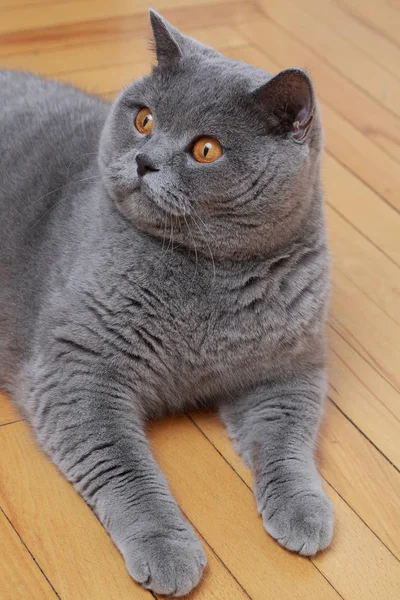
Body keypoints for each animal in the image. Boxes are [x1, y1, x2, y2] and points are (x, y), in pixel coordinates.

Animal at [0, 9, 332, 596]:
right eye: (145, 120)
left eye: (206, 150)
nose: (144, 161)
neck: (206, 276)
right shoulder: (78, 369)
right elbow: (125, 468)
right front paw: (167, 548)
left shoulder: (291, 365)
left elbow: (289, 438)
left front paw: (303, 510)